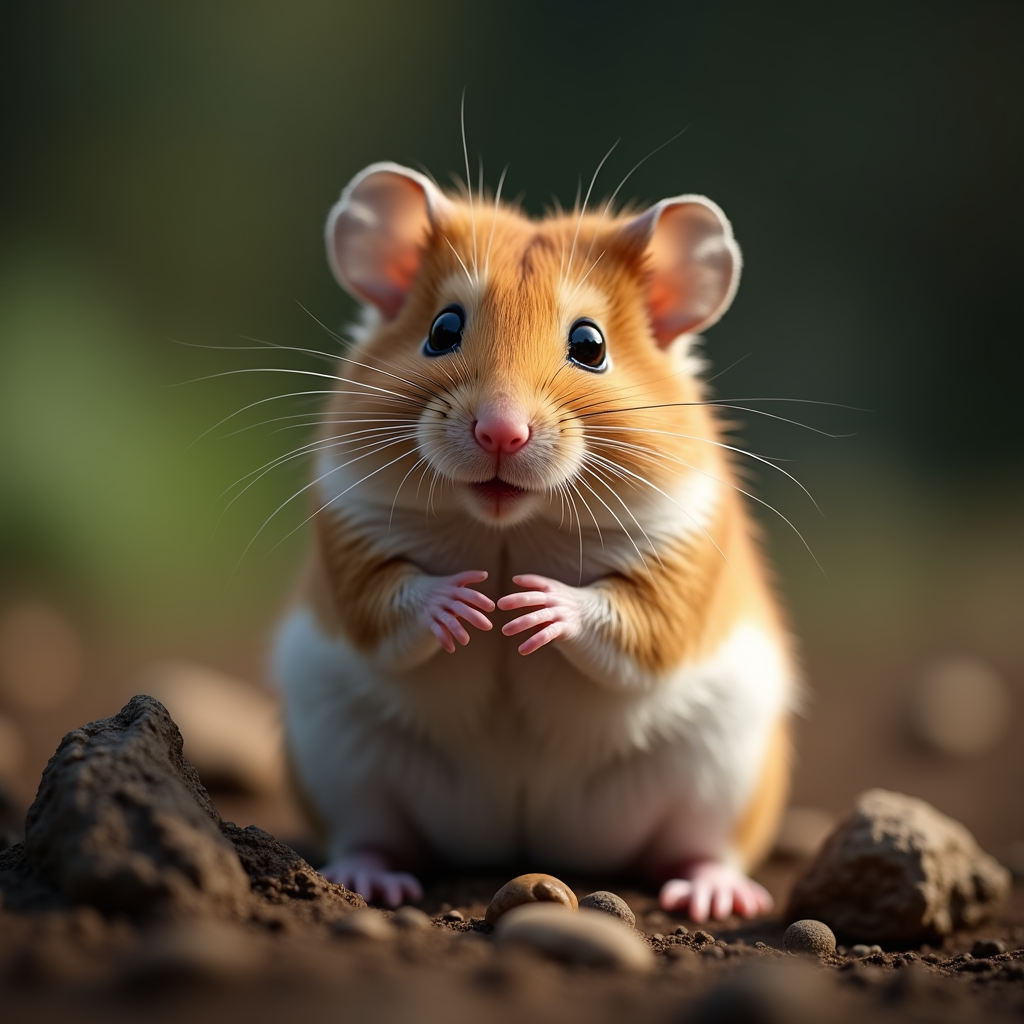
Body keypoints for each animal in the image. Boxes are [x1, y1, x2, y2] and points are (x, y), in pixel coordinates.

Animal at [273, 160, 796, 921]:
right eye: (442, 329)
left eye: (591, 346)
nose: (501, 432)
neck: (508, 528)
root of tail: (522, 842)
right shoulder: (350, 537)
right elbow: (390, 603)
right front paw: (471, 607)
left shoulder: (680, 561)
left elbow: (629, 620)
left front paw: (527, 608)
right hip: (341, 760)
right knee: (369, 832)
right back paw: (372, 879)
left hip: (724, 774)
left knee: (704, 847)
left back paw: (714, 896)